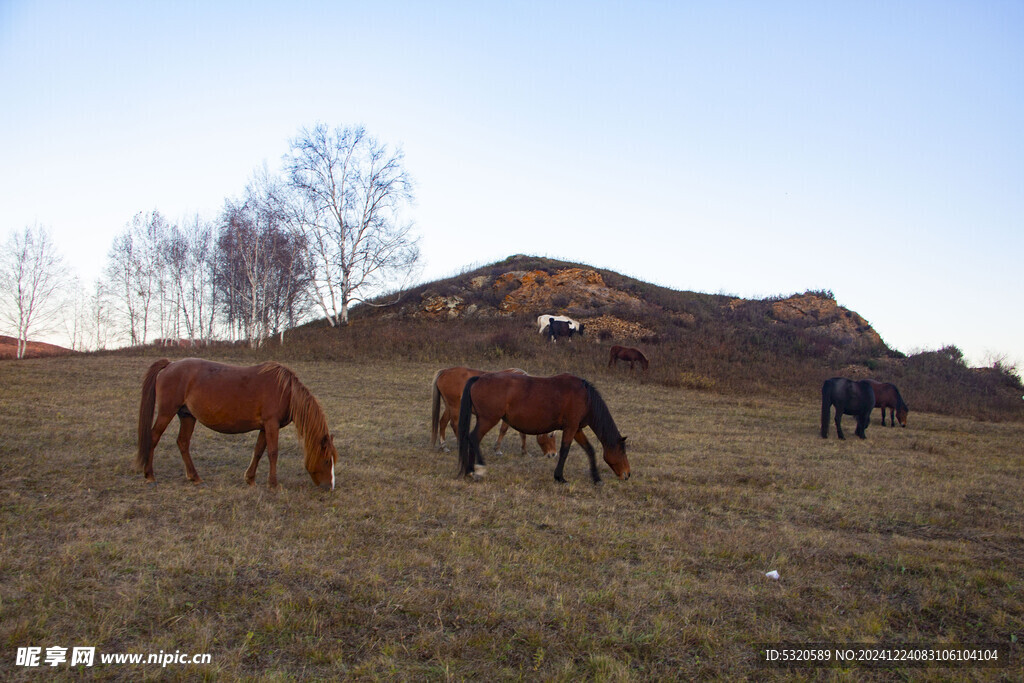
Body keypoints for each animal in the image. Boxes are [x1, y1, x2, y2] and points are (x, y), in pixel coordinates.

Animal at [133, 358, 335, 491]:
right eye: (326, 460)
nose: (329, 487)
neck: (286, 391)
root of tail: (170, 365)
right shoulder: (271, 424)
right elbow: (273, 452)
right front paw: (273, 484)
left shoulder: (265, 427)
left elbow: (259, 451)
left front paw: (250, 479)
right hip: (166, 412)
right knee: (153, 437)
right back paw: (150, 475)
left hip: (187, 416)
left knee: (182, 442)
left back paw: (195, 477)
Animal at [428, 366, 557, 456]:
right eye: (551, 435)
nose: (553, 454)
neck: (524, 389)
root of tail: (445, 371)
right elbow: (505, 430)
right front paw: (498, 449)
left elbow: (520, 433)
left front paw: (524, 451)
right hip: (455, 406)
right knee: (454, 424)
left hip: (449, 406)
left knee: (443, 422)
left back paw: (444, 446)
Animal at [458, 374, 630, 485]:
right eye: (622, 451)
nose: (627, 474)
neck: (585, 397)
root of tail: (479, 378)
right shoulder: (570, 428)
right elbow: (565, 451)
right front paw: (560, 477)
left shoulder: (576, 430)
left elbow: (589, 450)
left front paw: (597, 479)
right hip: (488, 420)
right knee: (474, 438)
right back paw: (479, 469)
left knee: (472, 439)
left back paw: (470, 471)